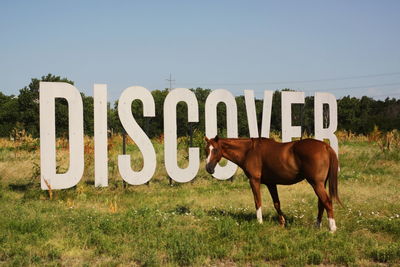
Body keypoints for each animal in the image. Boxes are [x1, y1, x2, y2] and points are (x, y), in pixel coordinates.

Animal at [206, 136, 340, 232]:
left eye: (215, 150)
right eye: (206, 150)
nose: (209, 168)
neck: (249, 151)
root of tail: (325, 146)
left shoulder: (254, 180)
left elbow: (257, 202)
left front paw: (260, 222)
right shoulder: (271, 183)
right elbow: (276, 203)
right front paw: (282, 222)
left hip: (316, 183)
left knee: (327, 202)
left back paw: (332, 228)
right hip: (321, 184)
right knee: (321, 203)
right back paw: (317, 226)